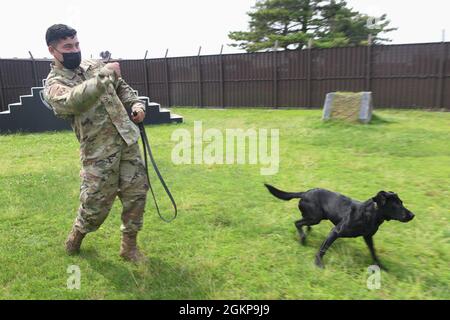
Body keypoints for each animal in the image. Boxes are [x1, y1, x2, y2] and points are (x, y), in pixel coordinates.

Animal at [264, 185, 414, 270]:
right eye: (396, 204)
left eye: (401, 202)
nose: (412, 215)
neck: (371, 213)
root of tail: (304, 193)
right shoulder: (335, 231)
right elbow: (323, 249)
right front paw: (318, 263)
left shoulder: (368, 237)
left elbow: (373, 252)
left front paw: (381, 266)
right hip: (315, 217)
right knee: (297, 223)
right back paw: (303, 239)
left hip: (316, 218)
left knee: (304, 224)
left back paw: (306, 234)